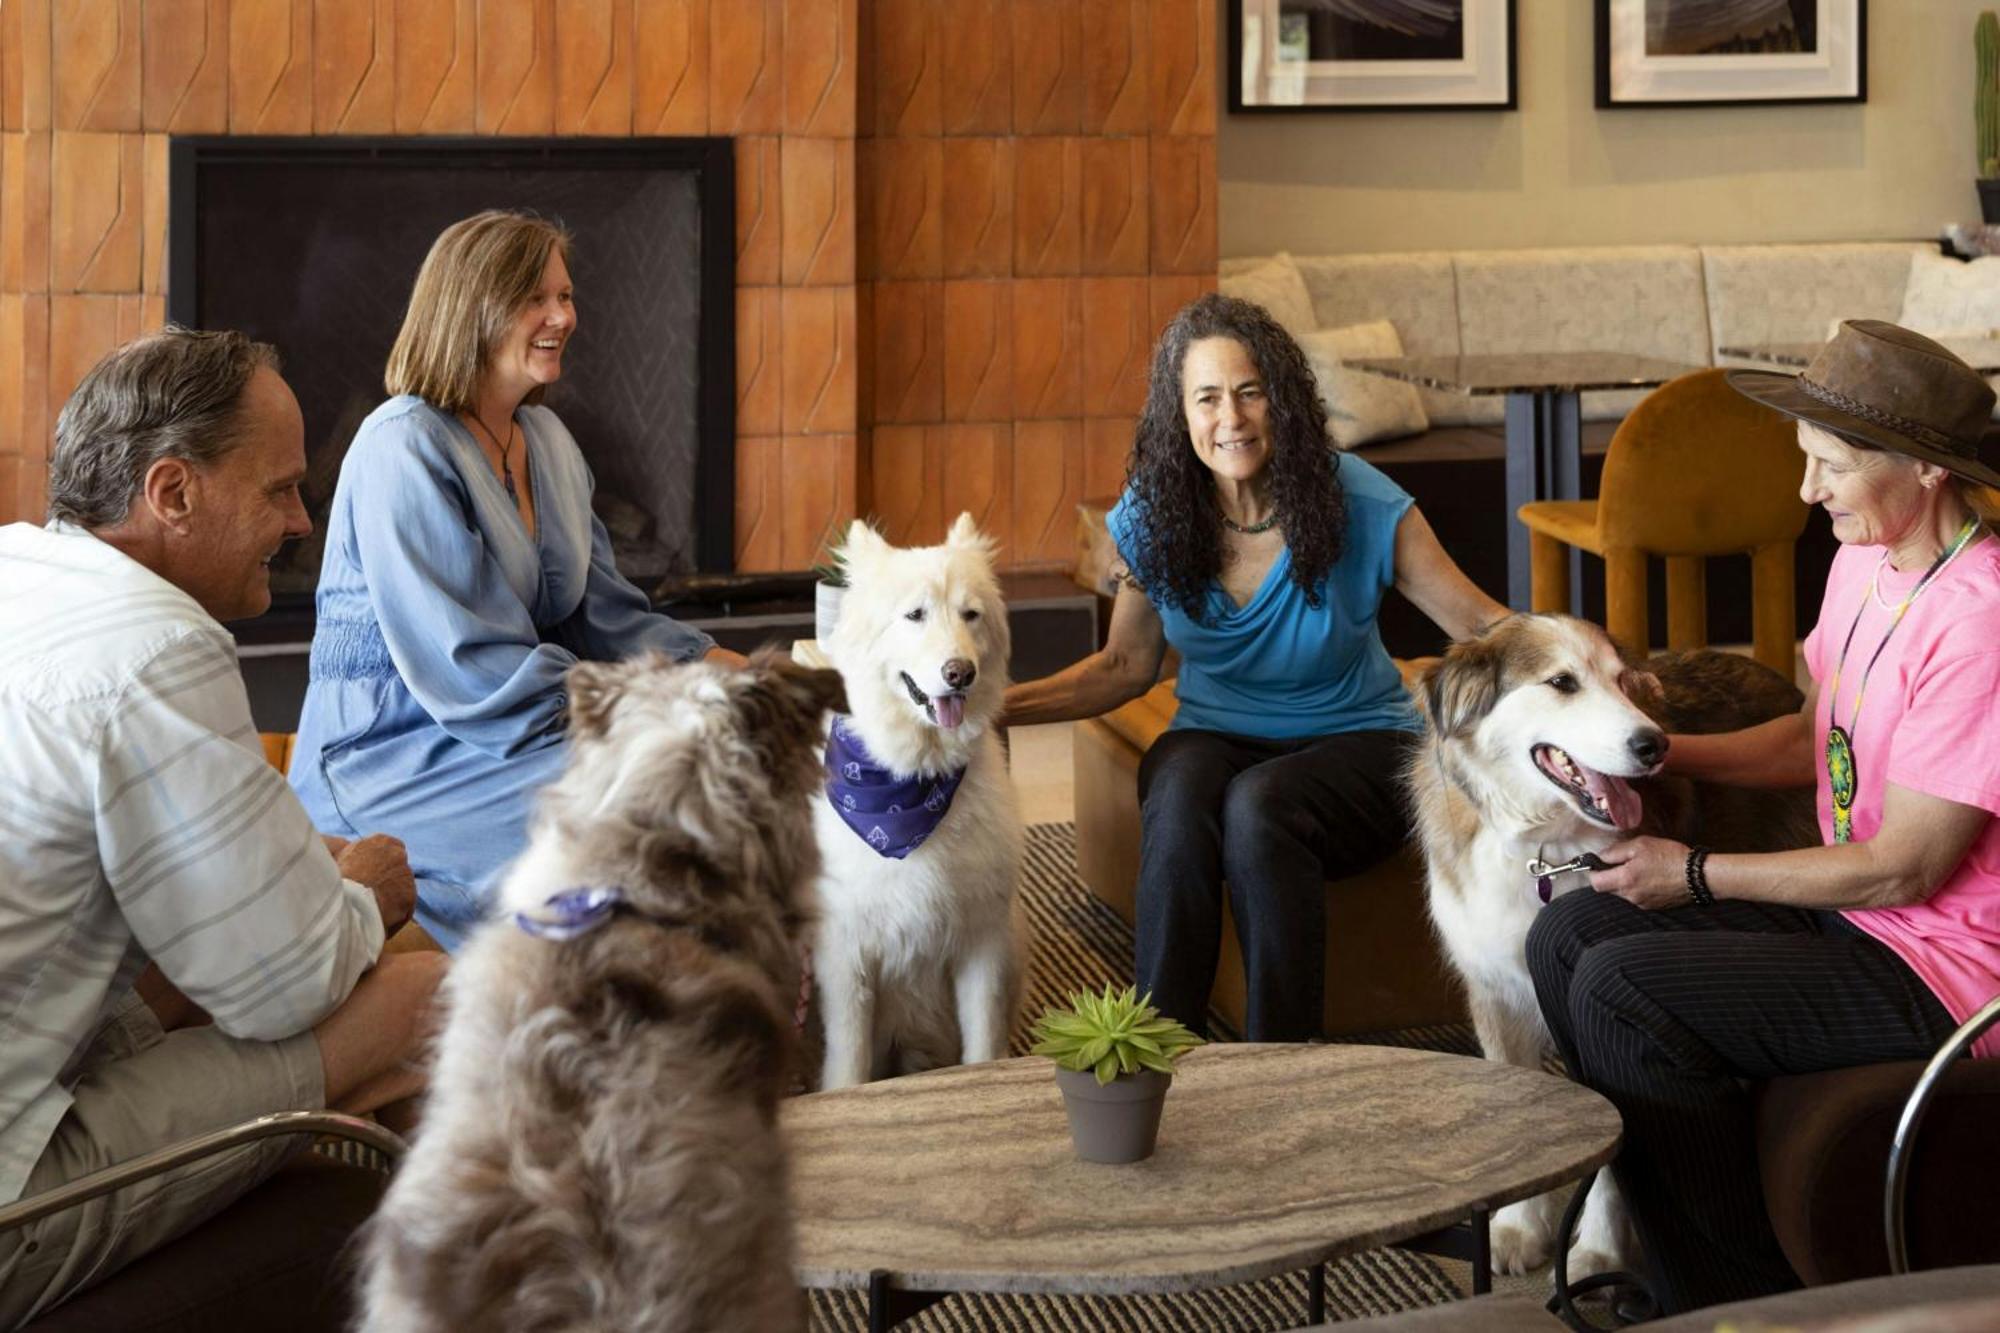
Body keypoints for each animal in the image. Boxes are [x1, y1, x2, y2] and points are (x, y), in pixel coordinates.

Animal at [816, 512, 1032, 1088]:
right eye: (915, 615)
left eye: (970, 615)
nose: (961, 672)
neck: (910, 785)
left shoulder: (982, 943)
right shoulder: (846, 957)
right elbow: (848, 1065)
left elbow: (983, 1046)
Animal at [1408, 608, 1816, 1280]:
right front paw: (1520, 1228)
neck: (1542, 850)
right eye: (1562, 683)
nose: (1655, 746)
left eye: (1624, 681)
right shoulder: (1497, 996)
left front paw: (1598, 1251)